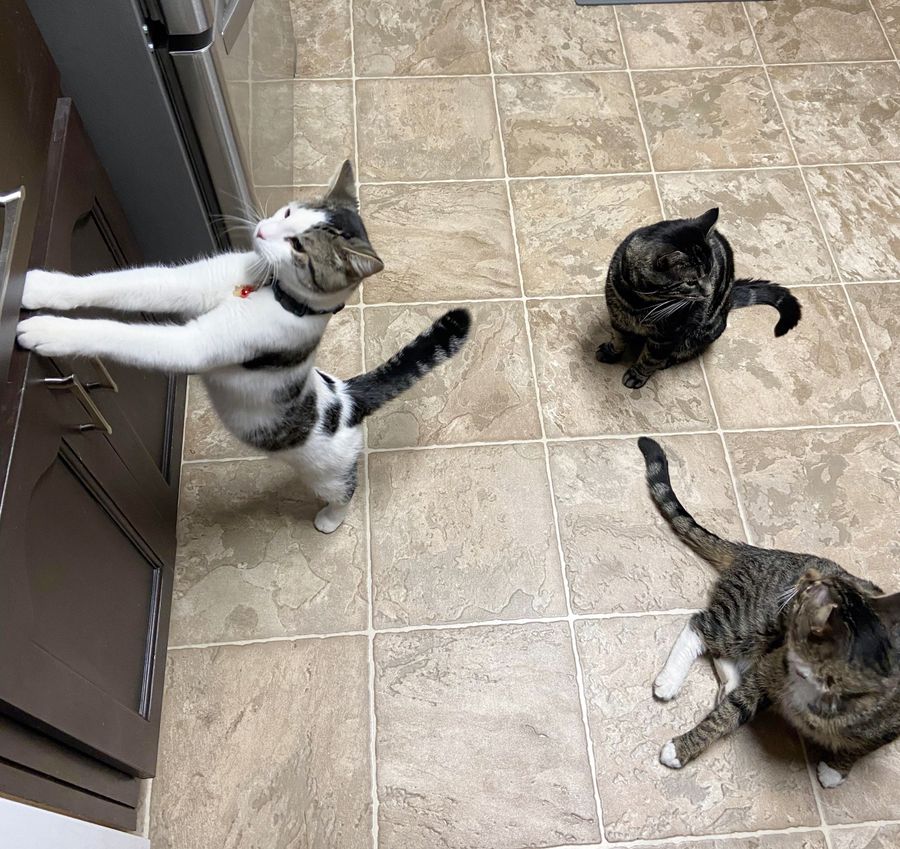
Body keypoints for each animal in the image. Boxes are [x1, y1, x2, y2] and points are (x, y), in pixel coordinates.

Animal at [15, 162, 472, 532]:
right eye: (287, 213)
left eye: (298, 245)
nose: (262, 229)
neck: (264, 288)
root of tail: (348, 396)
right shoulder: (187, 283)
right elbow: (127, 284)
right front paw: (38, 285)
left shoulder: (197, 344)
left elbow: (122, 335)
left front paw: (48, 331)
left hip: (327, 470)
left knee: (345, 489)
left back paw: (330, 519)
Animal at [596, 209, 800, 388]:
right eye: (691, 282)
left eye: (710, 272)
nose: (709, 292)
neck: (638, 301)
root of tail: (729, 301)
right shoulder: (618, 318)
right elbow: (618, 339)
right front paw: (610, 352)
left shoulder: (667, 336)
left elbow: (650, 358)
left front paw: (636, 375)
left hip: (704, 331)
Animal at [636, 438, 896, 788]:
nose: (806, 574)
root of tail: (754, 550)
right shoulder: (767, 674)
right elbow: (722, 720)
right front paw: (680, 749)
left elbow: (866, 744)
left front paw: (837, 769)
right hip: (752, 620)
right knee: (701, 626)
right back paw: (670, 680)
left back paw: (726, 682)